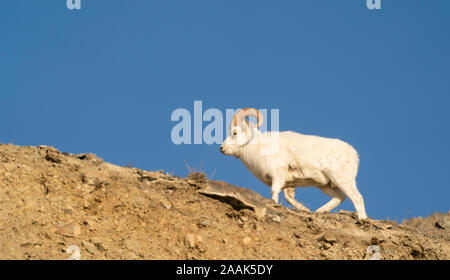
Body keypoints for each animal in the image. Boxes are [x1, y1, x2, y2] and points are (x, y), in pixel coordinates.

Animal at [220, 108, 368, 220]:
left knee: (357, 198)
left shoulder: (277, 176)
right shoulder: (288, 183)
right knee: (340, 197)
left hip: (343, 181)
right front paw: (305, 210)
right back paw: (319, 211)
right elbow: (289, 198)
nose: (222, 148)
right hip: (326, 185)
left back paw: (362, 219)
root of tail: (354, 154)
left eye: (235, 133)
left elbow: (274, 194)